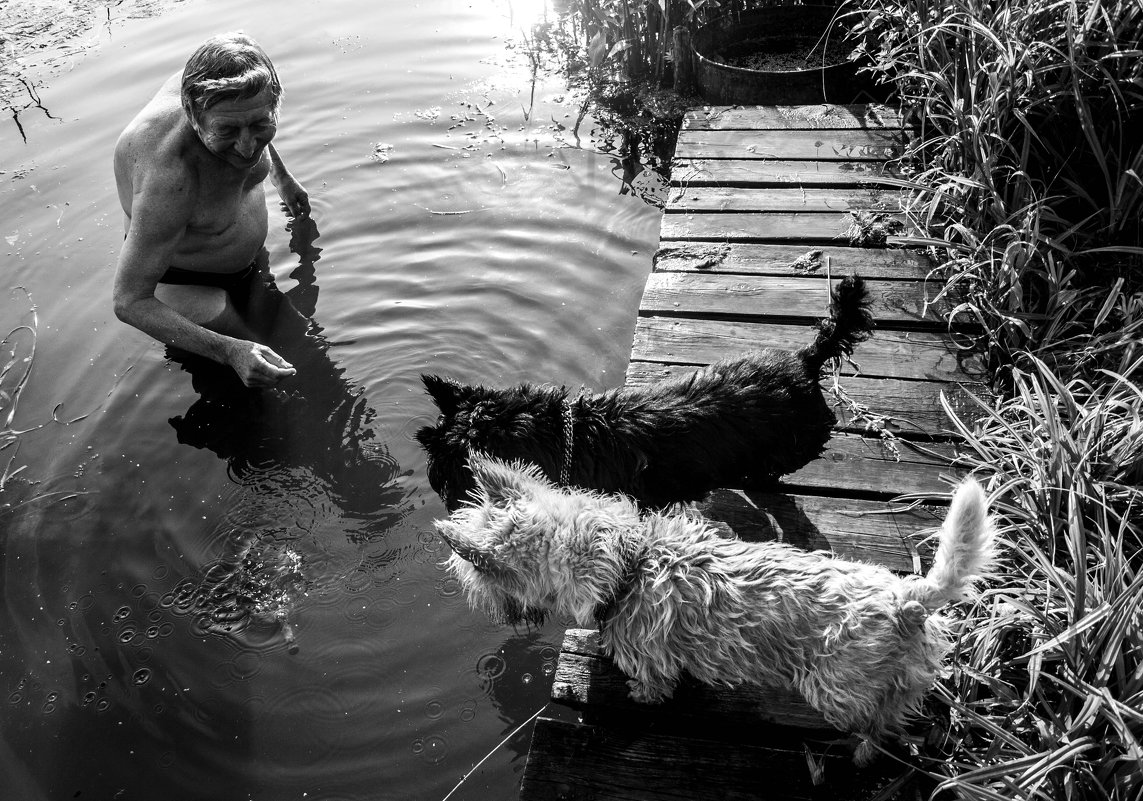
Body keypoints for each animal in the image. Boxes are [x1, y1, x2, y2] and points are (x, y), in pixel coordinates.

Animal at [438, 457, 1001, 763]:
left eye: (478, 583)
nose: (492, 613)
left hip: (833, 690)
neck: (625, 565)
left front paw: (639, 696)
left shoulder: (652, 661)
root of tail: (907, 600)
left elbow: (652, 686)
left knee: (879, 724)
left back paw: (860, 750)